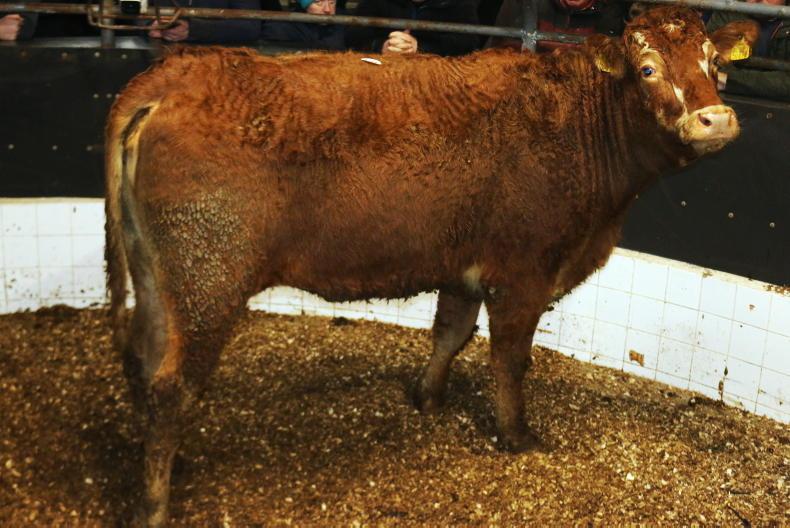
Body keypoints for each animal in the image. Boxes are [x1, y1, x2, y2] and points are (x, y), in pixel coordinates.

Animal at [105, 7, 758, 525]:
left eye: (715, 65)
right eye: (647, 69)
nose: (716, 119)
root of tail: (182, 69)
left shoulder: (465, 263)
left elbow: (450, 331)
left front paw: (426, 397)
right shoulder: (523, 270)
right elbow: (509, 358)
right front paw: (517, 436)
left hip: (159, 273)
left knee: (144, 357)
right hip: (209, 274)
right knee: (172, 385)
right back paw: (154, 505)